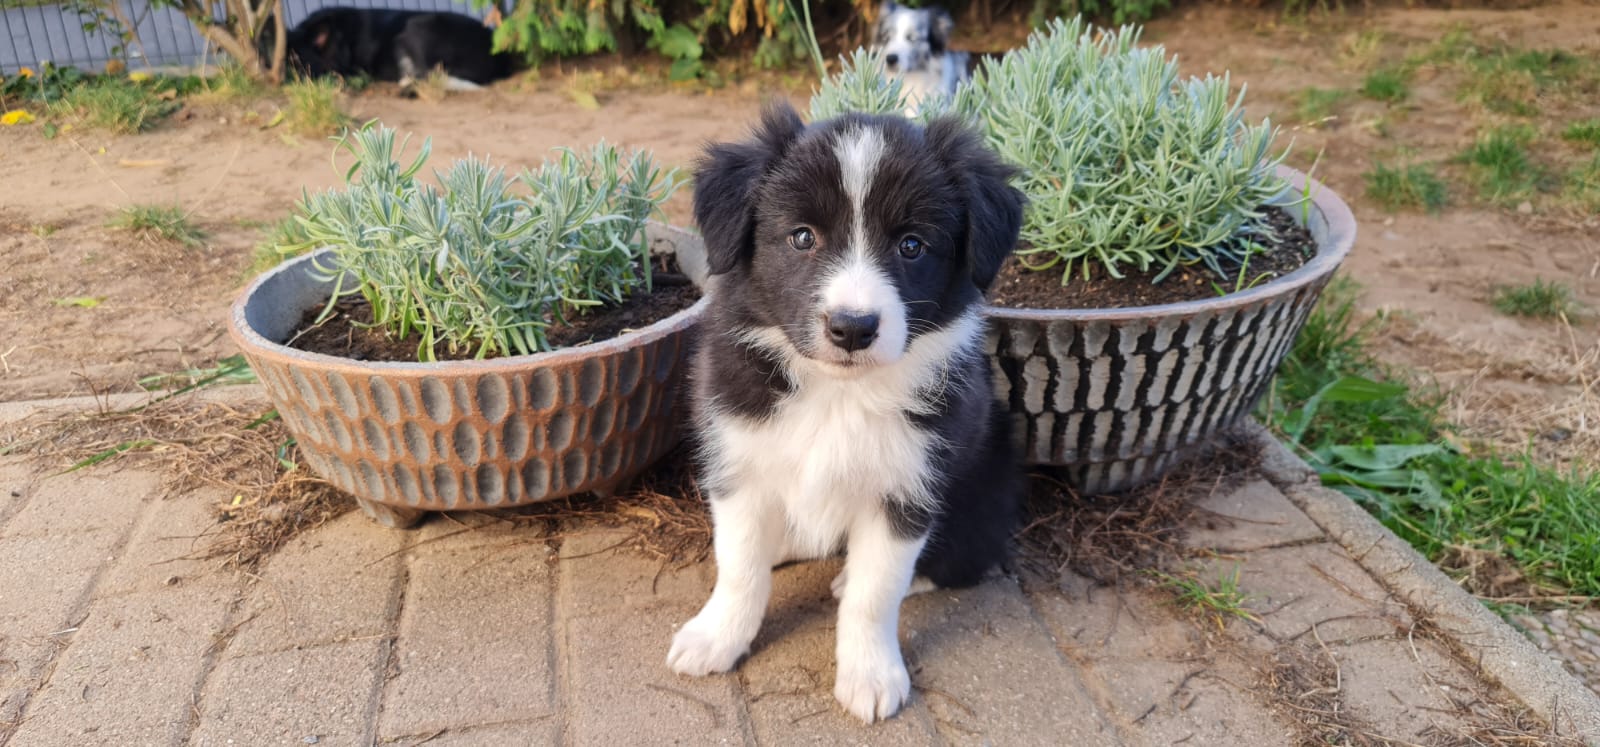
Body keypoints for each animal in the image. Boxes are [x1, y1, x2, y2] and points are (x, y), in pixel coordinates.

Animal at [666, 102, 1025, 723]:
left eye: (912, 245)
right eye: (802, 237)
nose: (853, 328)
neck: (837, 394)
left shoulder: (906, 489)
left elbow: (875, 593)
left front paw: (871, 676)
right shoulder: (739, 459)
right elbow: (739, 567)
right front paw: (716, 638)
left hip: (983, 495)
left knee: (959, 562)